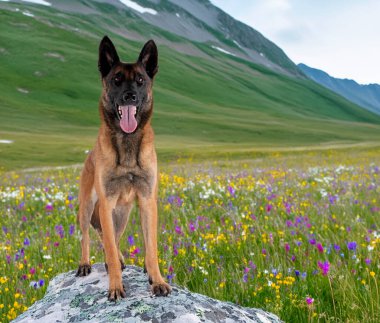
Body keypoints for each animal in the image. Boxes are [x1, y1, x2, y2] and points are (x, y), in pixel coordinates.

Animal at [75, 35, 171, 302]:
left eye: (140, 81)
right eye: (116, 80)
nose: (130, 97)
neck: (127, 144)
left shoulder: (147, 201)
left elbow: (151, 249)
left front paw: (157, 280)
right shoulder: (106, 202)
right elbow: (105, 244)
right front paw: (116, 286)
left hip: (123, 213)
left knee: (114, 238)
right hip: (88, 206)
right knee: (89, 236)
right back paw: (86, 263)